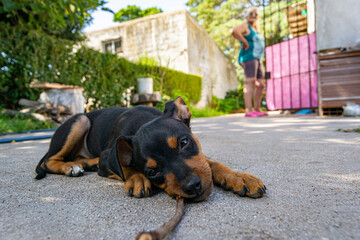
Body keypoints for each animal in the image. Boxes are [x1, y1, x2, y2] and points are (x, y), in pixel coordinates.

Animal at [35, 96, 264, 201]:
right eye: (152, 172)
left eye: (184, 142)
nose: (192, 186)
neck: (141, 123)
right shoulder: (108, 157)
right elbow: (124, 165)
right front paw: (137, 179)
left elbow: (211, 163)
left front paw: (239, 177)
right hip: (80, 120)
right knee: (47, 162)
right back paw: (70, 167)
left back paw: (84, 162)